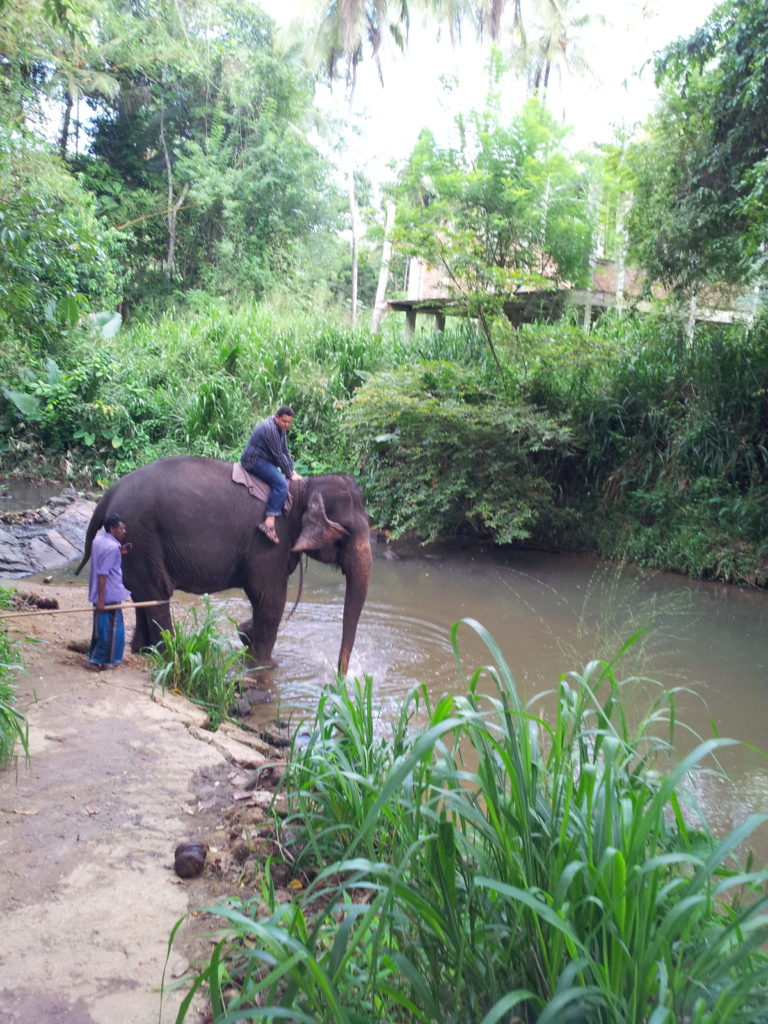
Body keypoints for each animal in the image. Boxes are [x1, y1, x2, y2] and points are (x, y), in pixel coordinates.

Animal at [75, 456, 372, 671]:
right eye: (345, 532)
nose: (342, 676)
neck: (304, 489)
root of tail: (107, 495)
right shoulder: (268, 542)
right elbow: (270, 598)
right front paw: (264, 666)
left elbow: (266, 600)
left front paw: (245, 634)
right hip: (140, 534)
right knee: (157, 595)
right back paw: (170, 655)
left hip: (135, 545)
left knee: (143, 595)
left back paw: (143, 651)